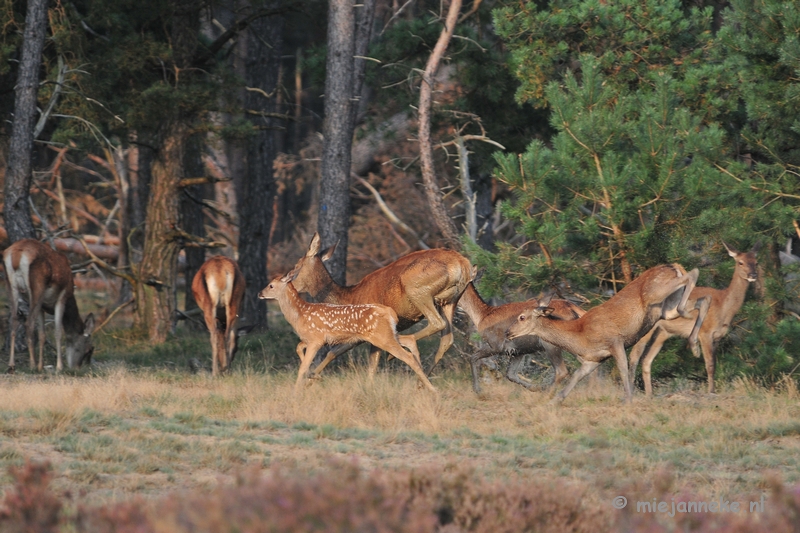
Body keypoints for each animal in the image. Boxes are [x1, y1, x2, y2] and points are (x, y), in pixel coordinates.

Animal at [3, 239, 95, 372]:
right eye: (89, 349)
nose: (77, 368)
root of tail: (16, 254)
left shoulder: (42, 307)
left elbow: (42, 334)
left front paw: (41, 366)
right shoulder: (62, 298)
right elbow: (58, 331)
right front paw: (59, 366)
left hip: (10, 285)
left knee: (13, 321)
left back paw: (11, 364)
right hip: (37, 287)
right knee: (29, 323)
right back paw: (32, 364)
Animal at [258, 270, 438, 390]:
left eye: (271, 285)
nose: (260, 293)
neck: (300, 314)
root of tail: (390, 313)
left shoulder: (316, 339)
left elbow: (302, 367)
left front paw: (296, 390)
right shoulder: (310, 339)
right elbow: (298, 349)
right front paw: (314, 375)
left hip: (383, 337)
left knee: (407, 356)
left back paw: (432, 389)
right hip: (388, 335)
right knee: (409, 340)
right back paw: (423, 382)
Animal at [288, 231, 472, 380]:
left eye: (296, 266)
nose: (288, 282)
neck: (346, 297)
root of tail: (462, 264)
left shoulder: (358, 332)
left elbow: (333, 352)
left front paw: (311, 377)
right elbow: (371, 367)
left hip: (416, 288)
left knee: (437, 323)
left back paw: (400, 351)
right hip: (451, 300)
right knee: (447, 338)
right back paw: (421, 380)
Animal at [510, 262, 704, 404]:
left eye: (521, 317)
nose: (508, 332)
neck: (580, 336)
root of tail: (671, 265)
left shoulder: (615, 341)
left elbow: (623, 368)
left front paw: (628, 399)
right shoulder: (594, 359)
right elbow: (576, 376)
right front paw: (554, 400)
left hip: (657, 293)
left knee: (693, 273)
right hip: (667, 308)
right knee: (701, 300)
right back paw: (694, 345)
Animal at [628, 241, 760, 394]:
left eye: (756, 262)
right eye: (740, 262)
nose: (753, 274)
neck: (723, 306)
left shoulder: (718, 336)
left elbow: (714, 364)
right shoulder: (705, 332)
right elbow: (709, 365)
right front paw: (711, 392)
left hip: (663, 332)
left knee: (646, 360)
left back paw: (650, 395)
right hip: (646, 328)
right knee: (635, 355)